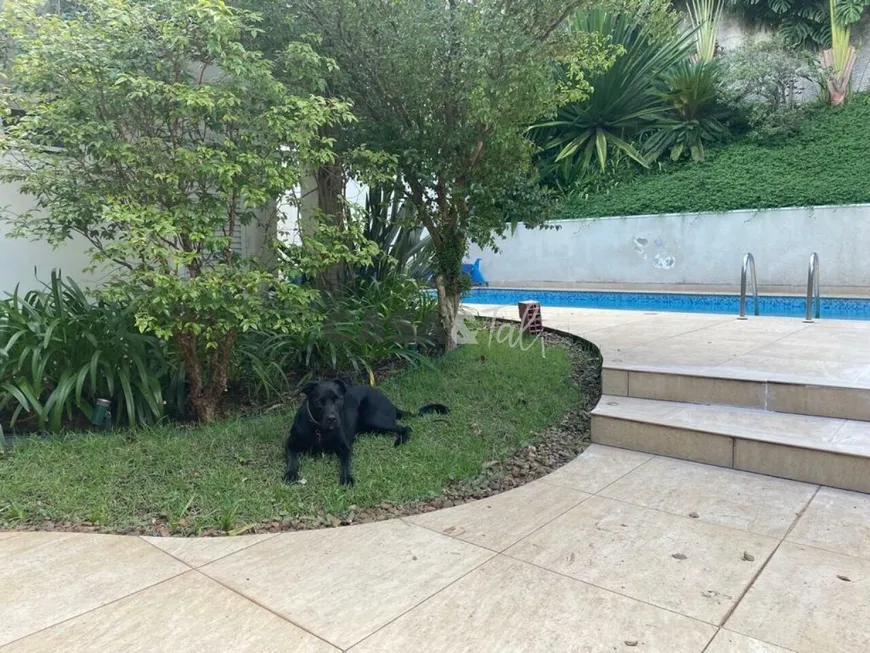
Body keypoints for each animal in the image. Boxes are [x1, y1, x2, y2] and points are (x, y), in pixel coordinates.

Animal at [284, 376, 450, 484]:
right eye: (319, 401)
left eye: (338, 399)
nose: (332, 418)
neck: (319, 430)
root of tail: (390, 402)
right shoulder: (290, 445)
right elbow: (293, 460)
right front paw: (290, 474)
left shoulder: (345, 448)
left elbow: (345, 463)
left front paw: (347, 478)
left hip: (372, 418)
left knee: (405, 427)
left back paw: (400, 441)